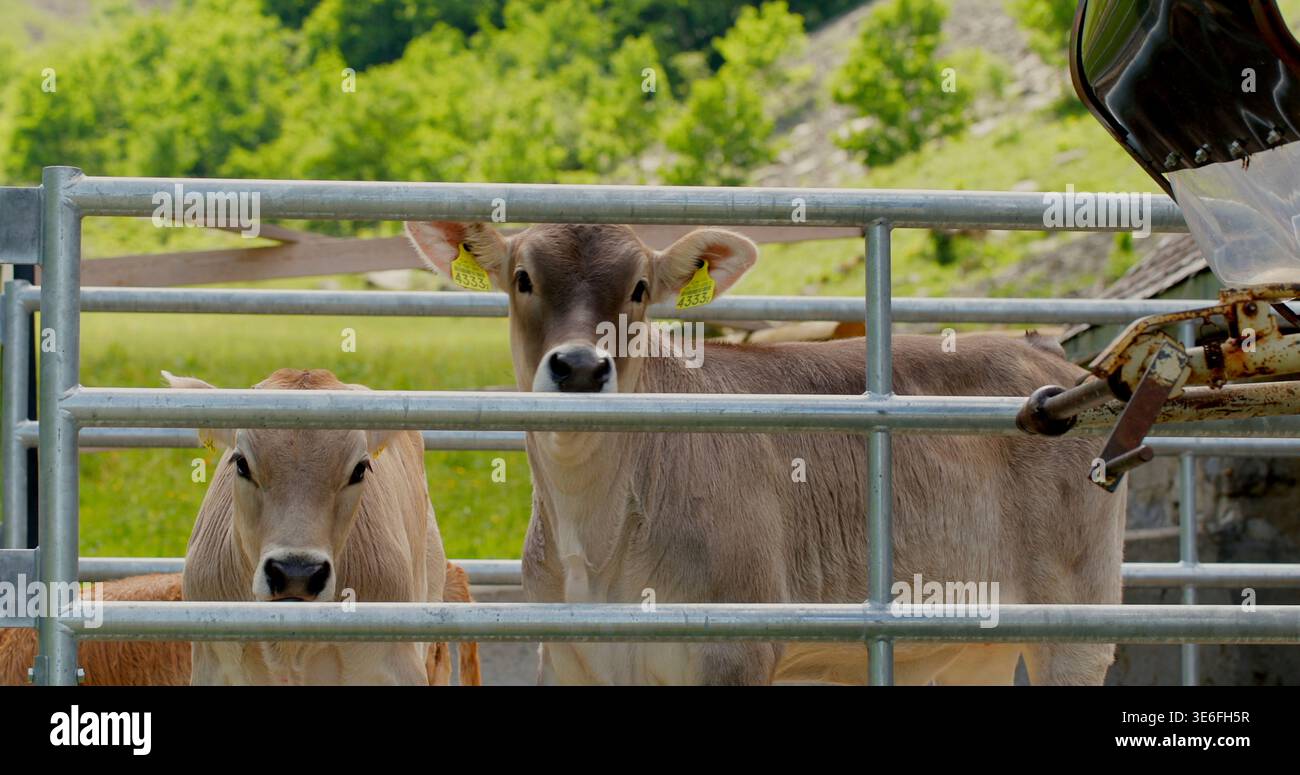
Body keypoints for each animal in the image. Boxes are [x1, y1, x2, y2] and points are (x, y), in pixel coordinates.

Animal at [406, 221, 1126, 686]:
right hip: (972, 651)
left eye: (638, 288)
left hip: (1078, 626)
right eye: (523, 278)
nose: (581, 366)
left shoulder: (737, 649)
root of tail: (1048, 354)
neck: (596, 537)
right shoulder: (569, 658)